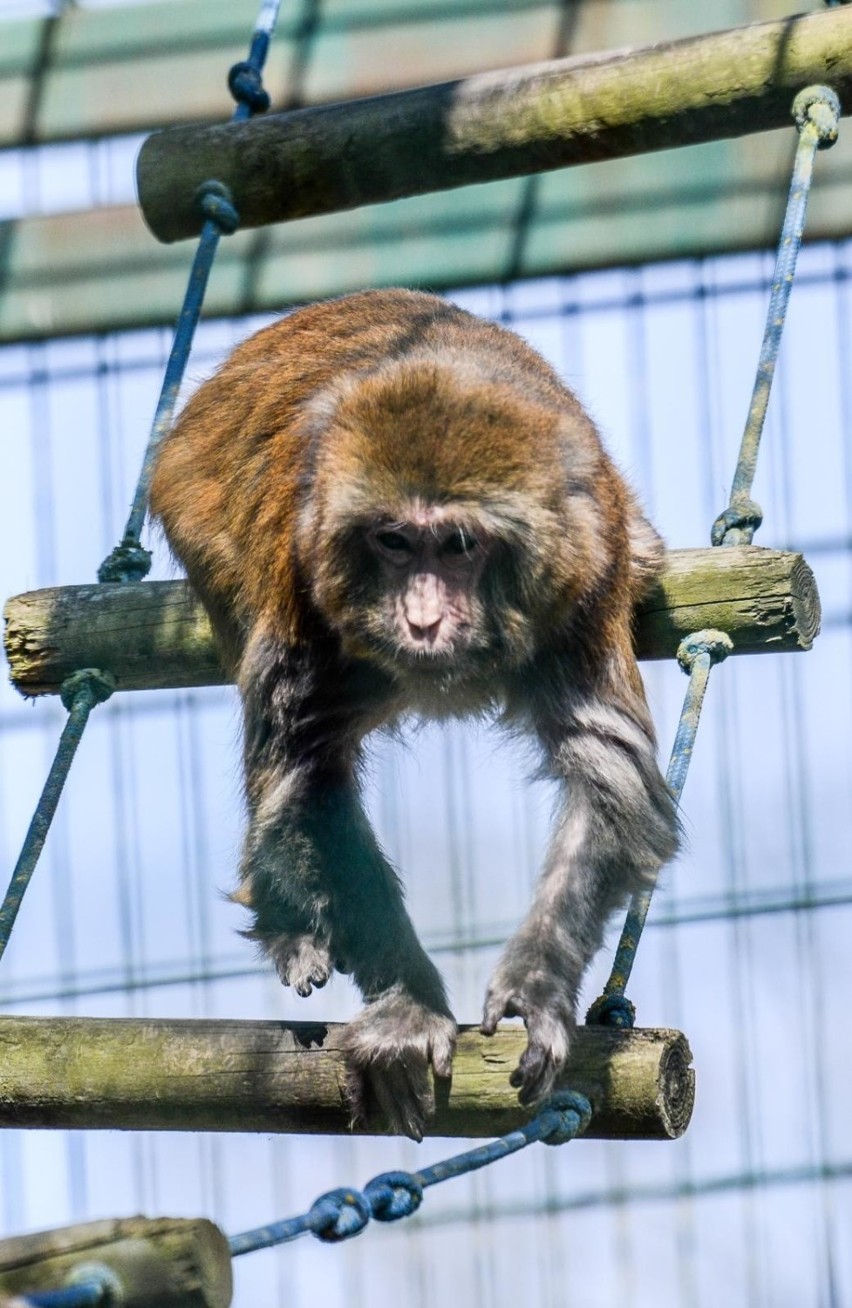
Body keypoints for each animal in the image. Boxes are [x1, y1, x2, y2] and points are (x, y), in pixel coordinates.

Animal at [148, 283, 680, 1135]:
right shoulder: (303, 567)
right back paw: (290, 926)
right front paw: (407, 1009)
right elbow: (309, 774)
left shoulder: (585, 571)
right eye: (394, 542)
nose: (422, 620)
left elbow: (609, 775)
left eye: (459, 545)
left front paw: (538, 986)